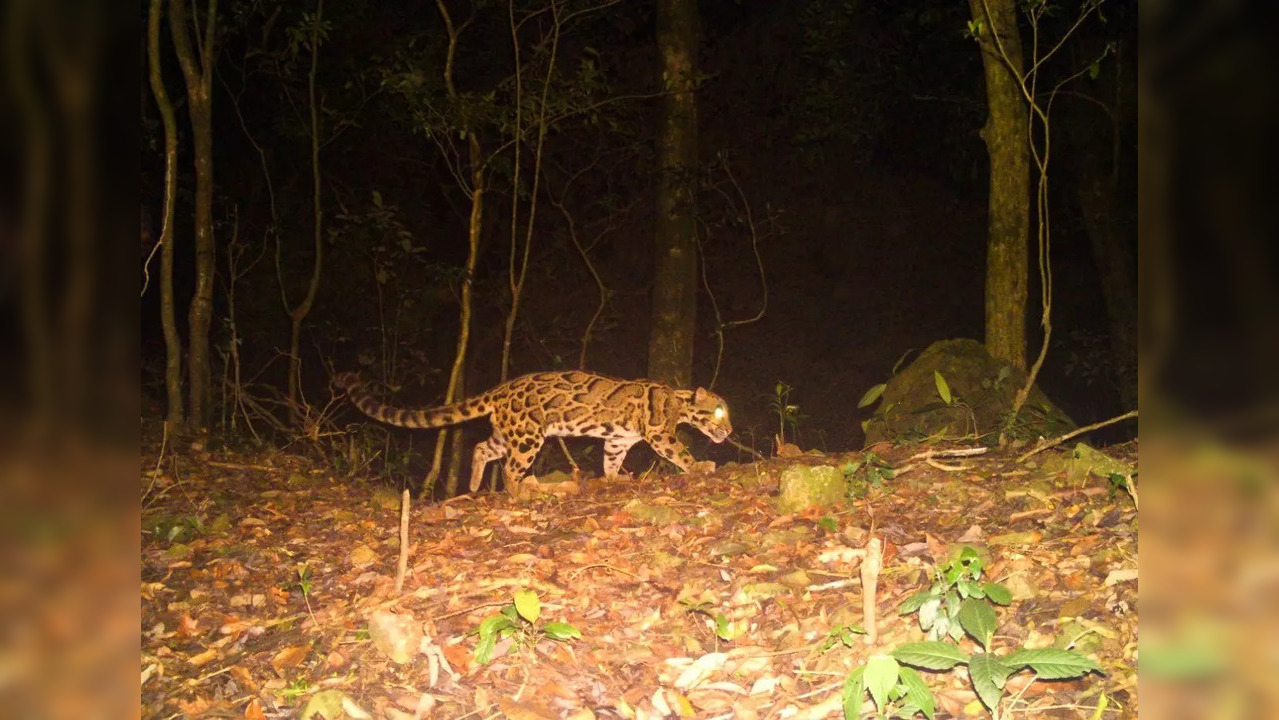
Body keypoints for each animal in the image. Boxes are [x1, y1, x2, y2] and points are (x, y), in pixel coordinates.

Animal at [332, 368, 731, 493]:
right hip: (528, 437)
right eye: (719, 412)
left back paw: (474, 485)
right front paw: (700, 466)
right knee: (510, 469)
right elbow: (680, 451)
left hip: (508, 433)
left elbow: (611, 460)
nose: (729, 432)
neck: (678, 399)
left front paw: (615, 477)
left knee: (481, 447)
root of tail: (500, 389)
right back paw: (521, 493)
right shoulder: (660, 432)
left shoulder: (619, 438)